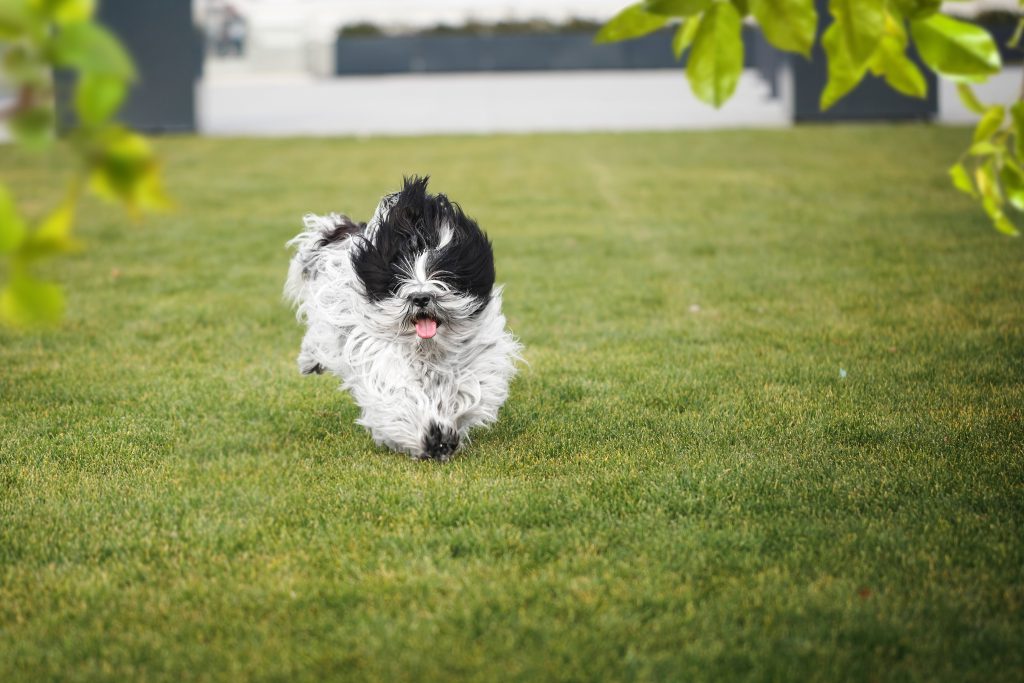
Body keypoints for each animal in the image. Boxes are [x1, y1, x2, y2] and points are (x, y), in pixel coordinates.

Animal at [284, 179, 520, 462]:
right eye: (398, 277)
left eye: (445, 275)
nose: (420, 297)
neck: (427, 348)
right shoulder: (382, 358)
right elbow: (400, 395)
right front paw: (431, 436)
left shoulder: (476, 358)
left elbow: (467, 391)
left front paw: (445, 430)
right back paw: (310, 362)